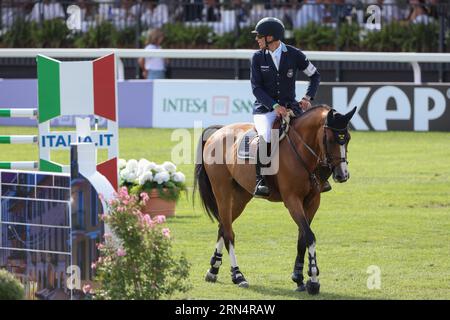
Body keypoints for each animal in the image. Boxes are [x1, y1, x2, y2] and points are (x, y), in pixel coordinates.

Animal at [192, 105, 356, 296]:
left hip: (241, 196)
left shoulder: (313, 201)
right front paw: (314, 280)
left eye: (348, 138)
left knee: (223, 226)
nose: (342, 175)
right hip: (222, 191)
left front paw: (299, 278)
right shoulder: (292, 200)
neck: (301, 150)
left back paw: (213, 270)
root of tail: (218, 132)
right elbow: (309, 236)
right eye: (329, 139)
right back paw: (238, 275)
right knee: (229, 233)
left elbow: (302, 237)